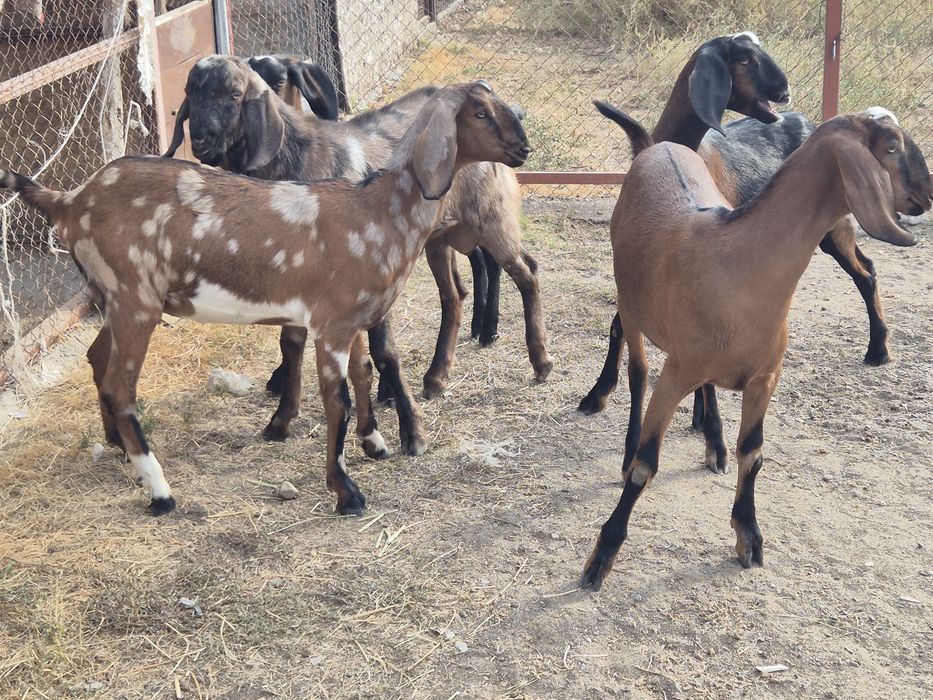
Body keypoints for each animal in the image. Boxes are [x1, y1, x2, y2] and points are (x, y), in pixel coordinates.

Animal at [1, 81, 531, 516]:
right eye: (480, 112)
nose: (523, 148)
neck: (377, 210)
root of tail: (69, 202)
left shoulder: (352, 319)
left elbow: (364, 372)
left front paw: (376, 444)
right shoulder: (332, 323)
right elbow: (336, 400)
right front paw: (346, 491)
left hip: (112, 297)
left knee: (97, 358)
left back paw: (116, 446)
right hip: (136, 301)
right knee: (120, 388)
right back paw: (159, 490)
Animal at [165, 58, 551, 447]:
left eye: (234, 93)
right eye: (189, 91)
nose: (201, 139)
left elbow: (382, 351)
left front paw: (407, 428)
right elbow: (293, 344)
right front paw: (283, 419)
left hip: (491, 219)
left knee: (526, 272)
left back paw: (537, 360)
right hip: (440, 239)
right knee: (454, 294)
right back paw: (437, 375)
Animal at [579, 108, 931, 590]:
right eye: (892, 148)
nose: (926, 197)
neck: (739, 266)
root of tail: (657, 145)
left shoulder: (765, 377)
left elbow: (754, 454)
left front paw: (748, 534)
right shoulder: (676, 373)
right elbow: (644, 466)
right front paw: (601, 556)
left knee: (704, 388)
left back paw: (714, 444)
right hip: (632, 308)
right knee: (637, 372)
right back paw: (628, 435)